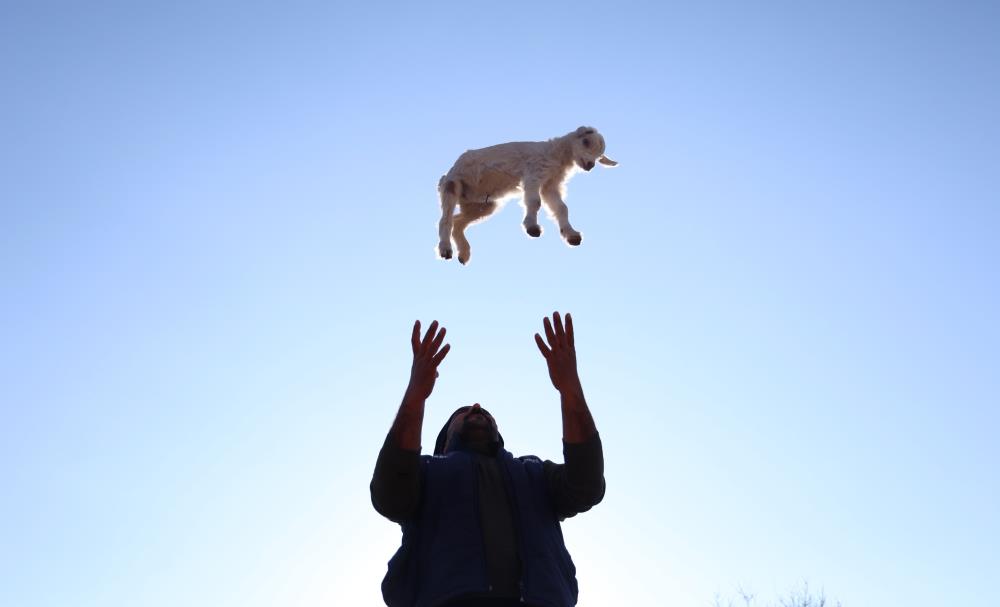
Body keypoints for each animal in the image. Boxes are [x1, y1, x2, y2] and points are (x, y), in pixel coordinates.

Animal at [438, 125, 616, 264]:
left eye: (600, 156)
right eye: (585, 141)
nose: (590, 165)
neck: (555, 153)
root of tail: (447, 174)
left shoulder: (550, 184)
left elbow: (561, 208)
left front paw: (572, 236)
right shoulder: (535, 172)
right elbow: (535, 202)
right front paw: (532, 228)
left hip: (481, 204)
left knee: (458, 222)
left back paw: (463, 254)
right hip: (453, 184)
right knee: (446, 220)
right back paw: (445, 250)